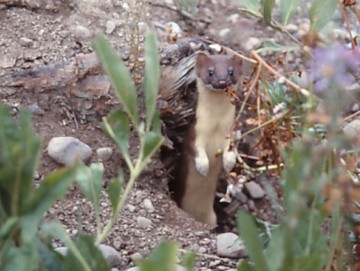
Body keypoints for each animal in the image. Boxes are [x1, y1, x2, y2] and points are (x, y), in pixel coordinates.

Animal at [173, 52, 243, 228]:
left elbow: (231, 148)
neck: (216, 126)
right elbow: (195, 149)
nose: (222, 81)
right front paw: (203, 167)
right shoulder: (196, 133)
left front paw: (229, 162)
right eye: (210, 71)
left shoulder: (230, 132)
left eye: (231, 71)